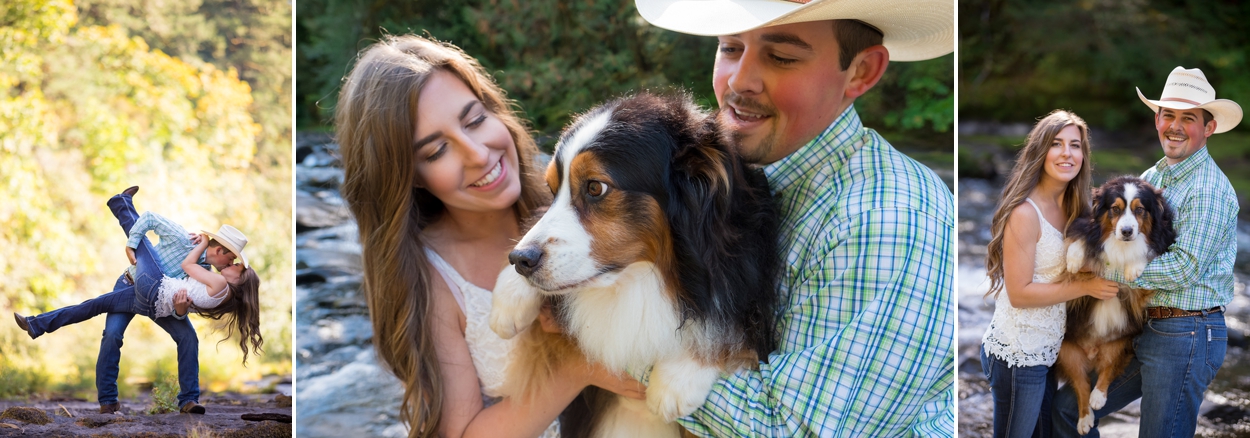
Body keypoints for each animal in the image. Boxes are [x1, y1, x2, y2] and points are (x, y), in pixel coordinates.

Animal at [487, 90, 780, 435]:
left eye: (595, 187)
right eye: (551, 189)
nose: (521, 260)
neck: (643, 277)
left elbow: (727, 318)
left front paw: (678, 378)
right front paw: (508, 300)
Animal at [1055, 175, 1170, 435]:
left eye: (1140, 210)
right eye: (1115, 209)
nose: (1126, 231)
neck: (1121, 246)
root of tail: (1092, 351)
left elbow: (1146, 254)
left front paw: (1134, 266)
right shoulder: (1085, 230)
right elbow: (1079, 241)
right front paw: (1074, 260)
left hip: (1119, 343)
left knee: (1107, 369)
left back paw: (1098, 397)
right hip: (1067, 350)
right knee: (1081, 383)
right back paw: (1085, 418)